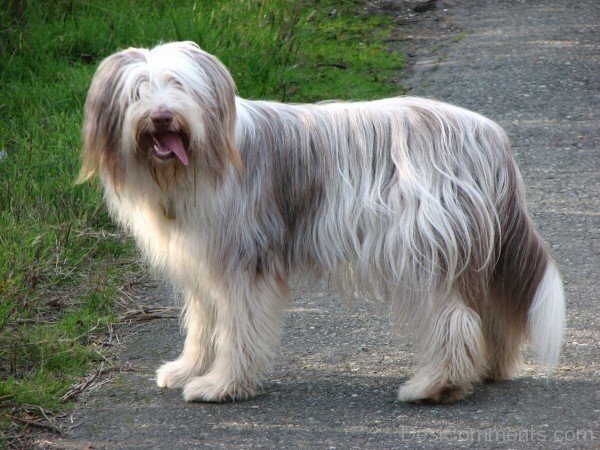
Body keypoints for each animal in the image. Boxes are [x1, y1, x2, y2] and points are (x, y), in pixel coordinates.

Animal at [77, 40, 564, 402]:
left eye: (179, 86)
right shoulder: (204, 263)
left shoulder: (245, 263)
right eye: (138, 91)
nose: (162, 116)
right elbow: (202, 324)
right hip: (473, 252)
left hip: (421, 249)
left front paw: (222, 385)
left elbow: (237, 328)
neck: (195, 164)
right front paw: (187, 369)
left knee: (454, 318)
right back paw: (487, 369)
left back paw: (435, 385)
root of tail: (490, 135)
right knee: (491, 309)